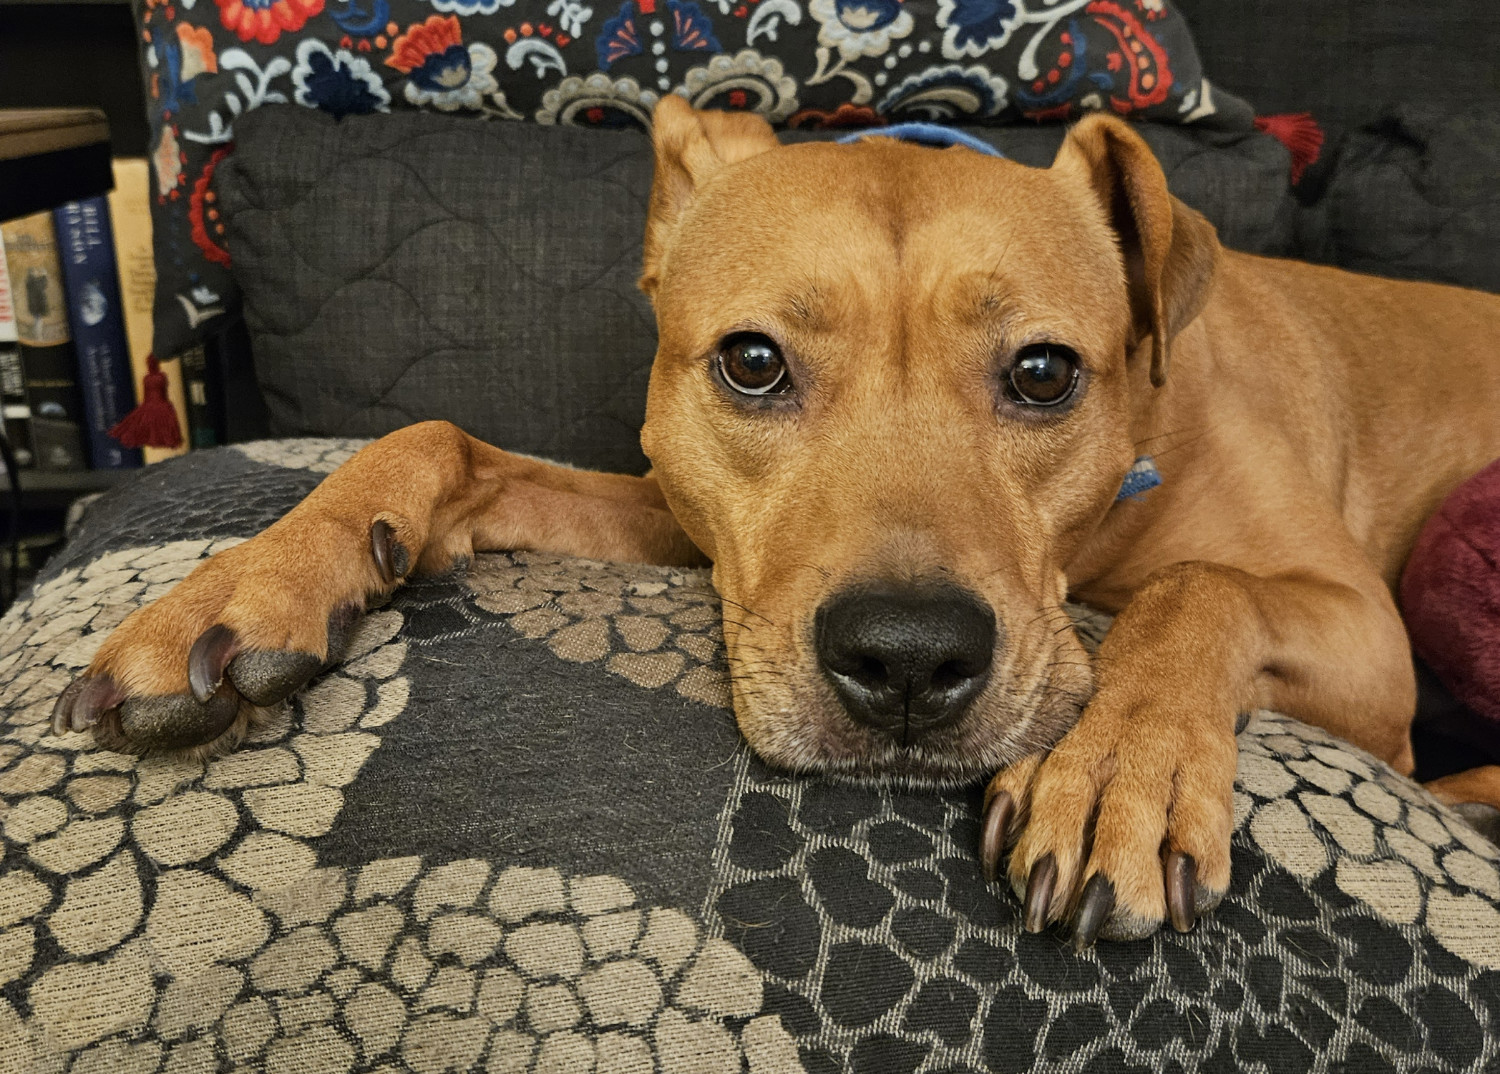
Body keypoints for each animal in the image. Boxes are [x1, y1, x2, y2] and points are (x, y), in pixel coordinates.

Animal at [52, 96, 1500, 942]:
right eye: (751, 363)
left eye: (1045, 373)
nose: (908, 659)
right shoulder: (670, 513)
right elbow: (438, 439)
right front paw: (248, 582)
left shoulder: (1364, 637)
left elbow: (1198, 584)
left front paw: (1115, 769)